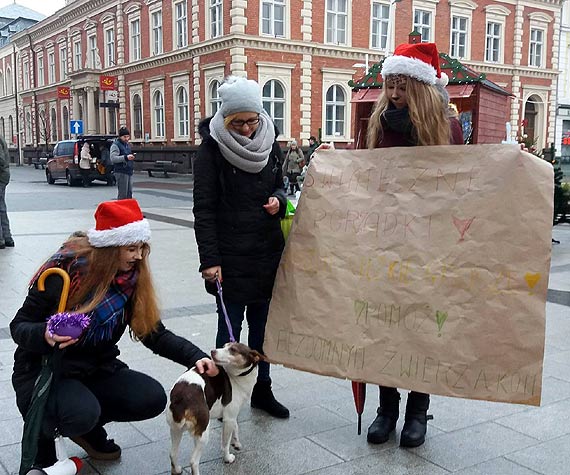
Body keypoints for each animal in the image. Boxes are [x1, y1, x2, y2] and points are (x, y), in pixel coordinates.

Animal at [164, 344, 262, 474]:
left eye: (233, 350)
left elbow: (236, 427)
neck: (236, 377)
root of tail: (180, 398)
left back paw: (177, 469)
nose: (212, 351)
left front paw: (236, 442)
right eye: (225, 346)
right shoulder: (228, 419)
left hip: (175, 429)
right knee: (193, 461)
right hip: (203, 432)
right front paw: (227, 458)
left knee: (172, 454)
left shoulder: (231, 415)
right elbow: (225, 444)